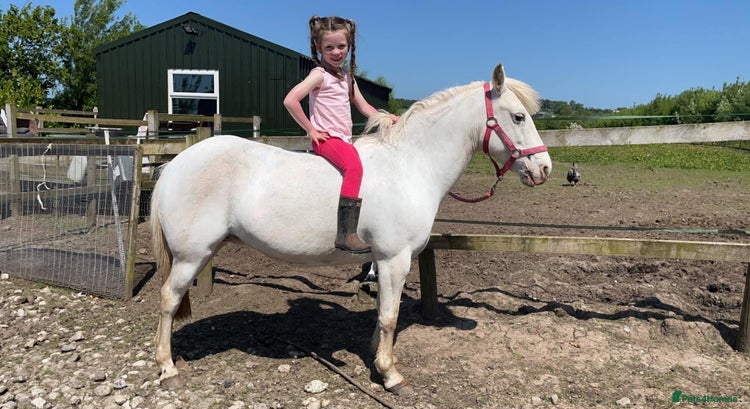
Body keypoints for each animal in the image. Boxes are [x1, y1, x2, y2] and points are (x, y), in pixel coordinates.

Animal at [151, 63, 552, 393]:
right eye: (518, 117)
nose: (544, 169)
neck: (411, 165)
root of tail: (174, 164)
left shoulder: (384, 260)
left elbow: (383, 311)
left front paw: (377, 354)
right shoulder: (394, 258)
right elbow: (390, 316)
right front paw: (390, 374)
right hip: (191, 256)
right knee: (168, 300)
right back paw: (167, 367)